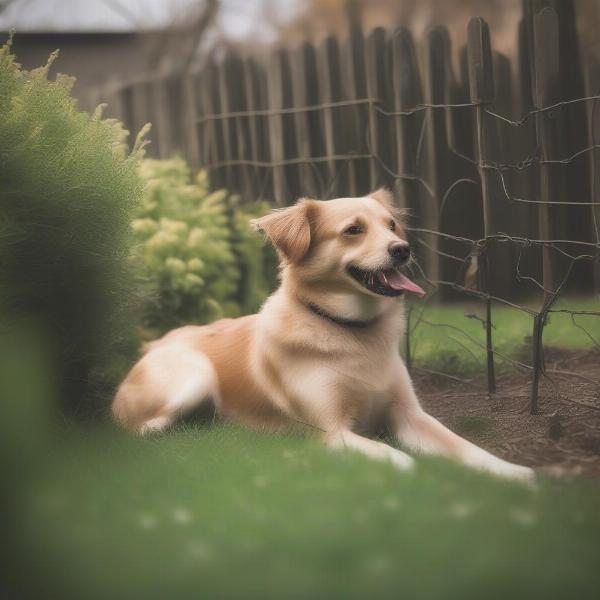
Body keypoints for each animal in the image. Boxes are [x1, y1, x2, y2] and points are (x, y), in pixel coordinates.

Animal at [112, 190, 536, 480]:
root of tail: (160, 340)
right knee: (139, 429)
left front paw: (520, 475)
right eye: (353, 230)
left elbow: (467, 448)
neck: (351, 332)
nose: (403, 249)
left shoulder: (410, 414)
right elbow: (397, 458)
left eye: (391, 226)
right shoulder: (331, 432)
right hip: (194, 375)